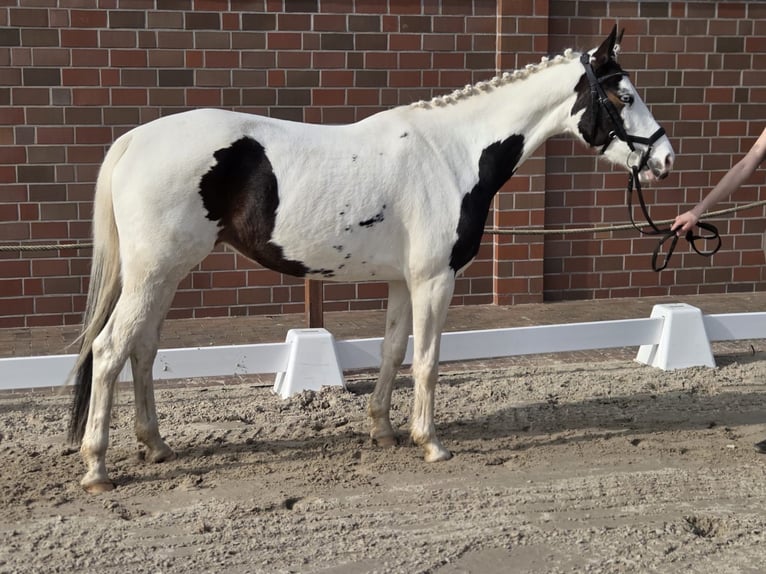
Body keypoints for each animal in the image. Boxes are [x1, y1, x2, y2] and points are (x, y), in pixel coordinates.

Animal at [67, 27, 674, 493]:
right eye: (623, 97)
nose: (665, 159)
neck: (452, 155)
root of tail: (133, 141)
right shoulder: (435, 281)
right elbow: (427, 361)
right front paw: (431, 443)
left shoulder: (404, 282)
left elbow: (392, 351)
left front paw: (383, 430)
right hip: (153, 275)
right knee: (110, 349)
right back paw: (97, 468)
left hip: (163, 275)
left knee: (142, 350)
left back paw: (155, 445)